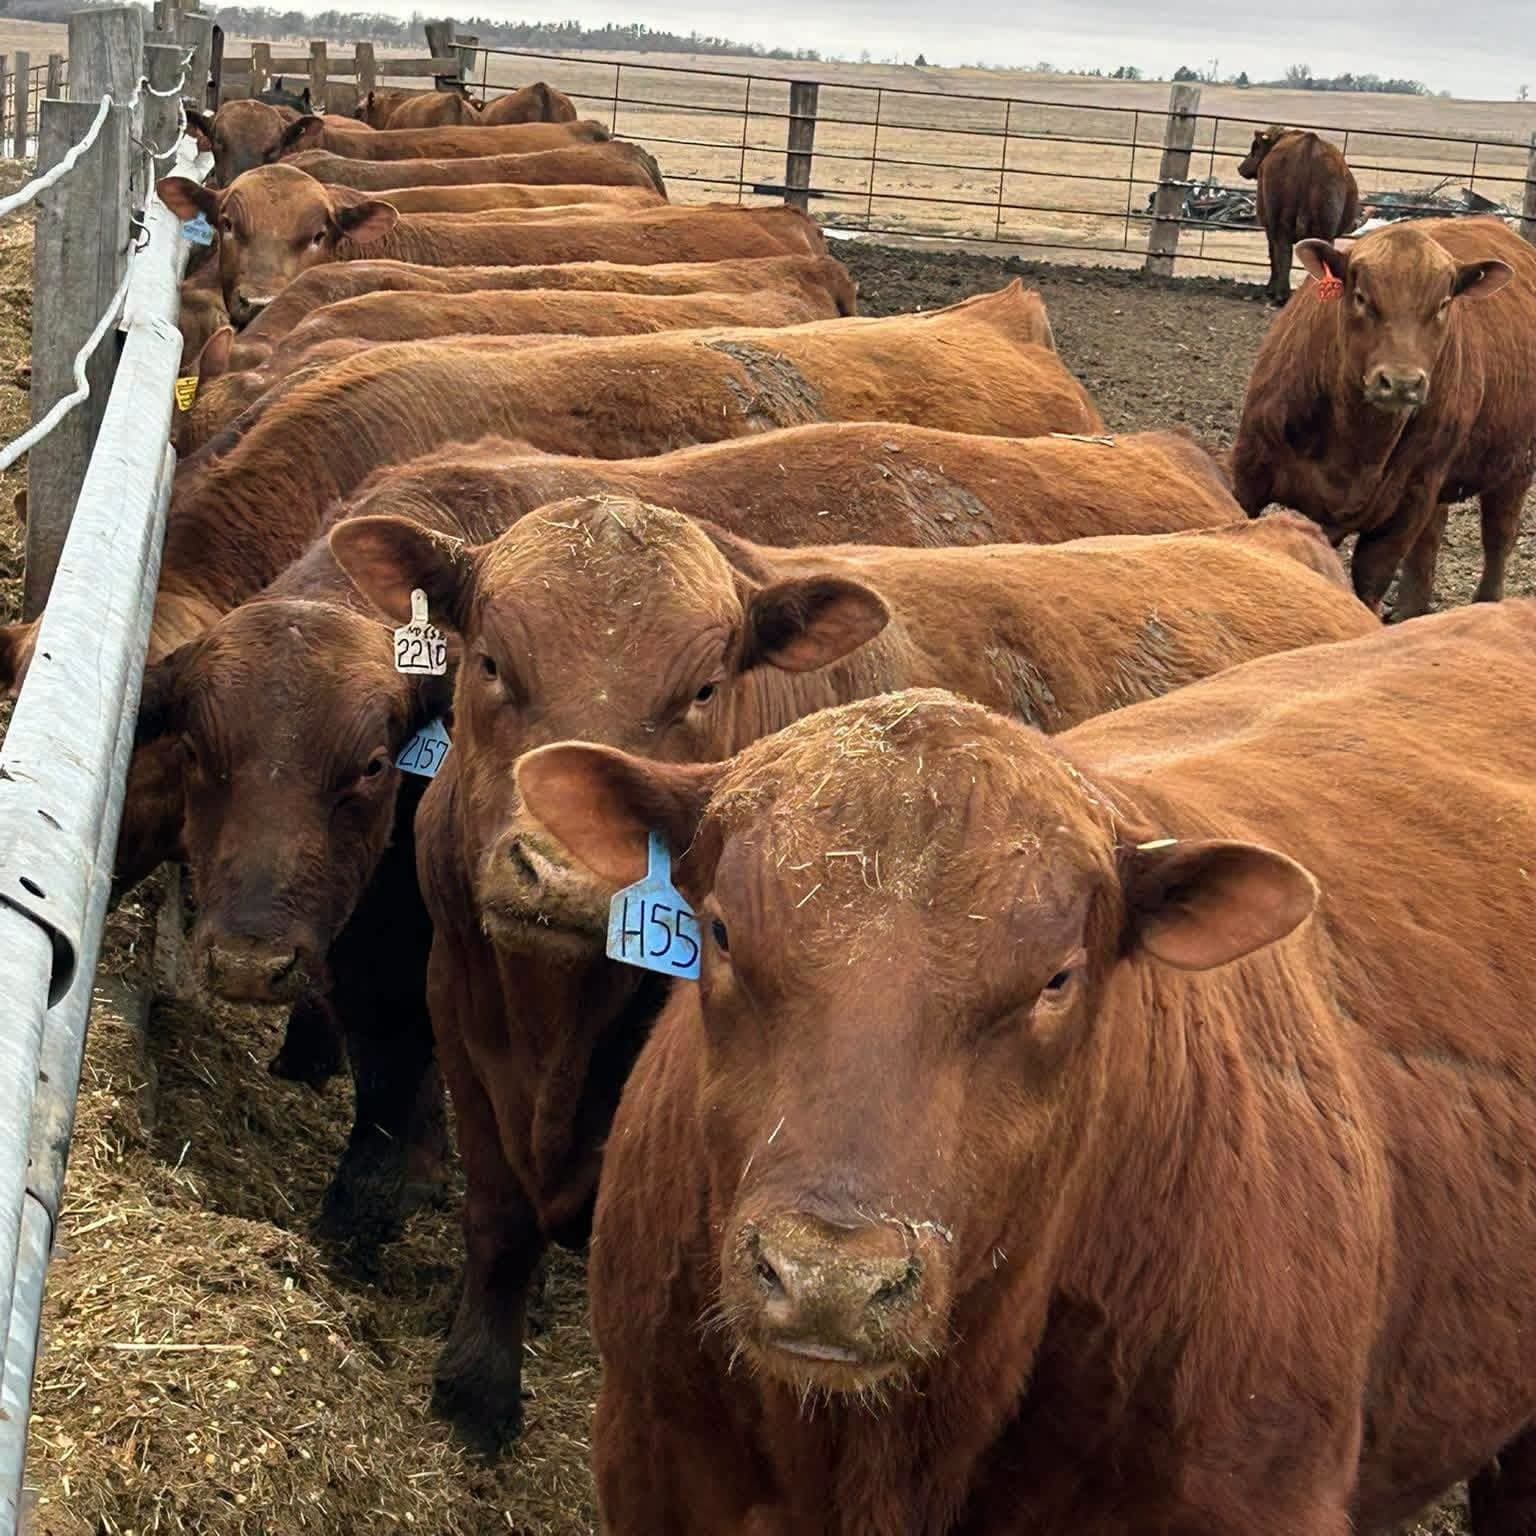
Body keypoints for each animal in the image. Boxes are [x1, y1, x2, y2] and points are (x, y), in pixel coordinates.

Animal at [328, 497, 1372, 1452]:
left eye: (705, 687)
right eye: (490, 661)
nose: (565, 877)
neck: (554, 1023)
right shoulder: (458, 999)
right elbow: (498, 1212)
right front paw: (475, 1385)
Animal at [1232, 216, 1536, 616]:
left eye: (1442, 305)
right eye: (1361, 297)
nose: (1402, 383)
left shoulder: (1409, 502)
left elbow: (1371, 579)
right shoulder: (1249, 468)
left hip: (1515, 467)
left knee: (1498, 536)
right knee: (1432, 539)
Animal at [1238, 126, 1361, 303]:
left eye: (1255, 147)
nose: (1240, 168)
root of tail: (1309, 147)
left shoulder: (1269, 225)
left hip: (1281, 221)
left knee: (1283, 253)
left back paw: (1280, 294)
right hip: (1324, 228)